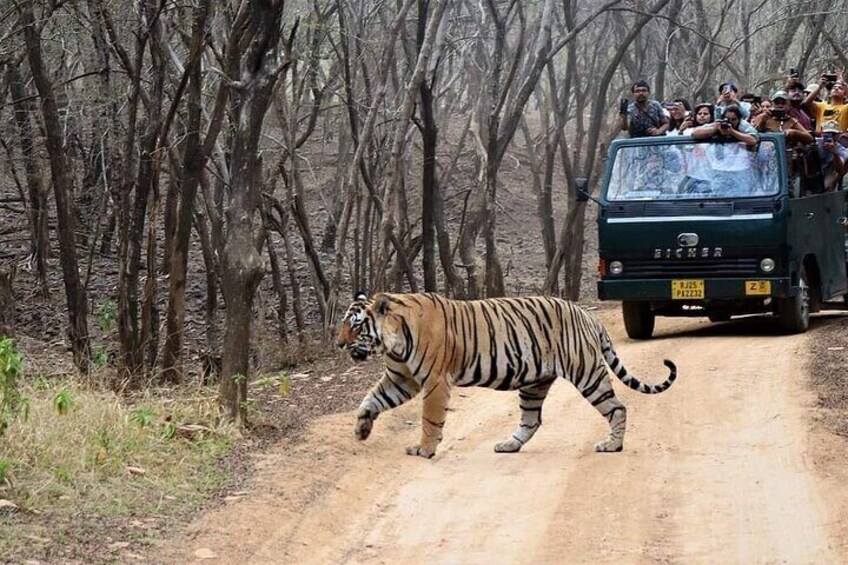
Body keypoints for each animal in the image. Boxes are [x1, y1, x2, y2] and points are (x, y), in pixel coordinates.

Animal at [336, 294, 676, 456]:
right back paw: (509, 445)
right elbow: (371, 399)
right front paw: (361, 429)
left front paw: (425, 450)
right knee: (532, 420)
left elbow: (430, 419)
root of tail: (588, 315)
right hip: (534, 383)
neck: (392, 340)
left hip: (587, 372)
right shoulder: (401, 378)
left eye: (356, 325)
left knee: (617, 408)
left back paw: (612, 445)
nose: (338, 344)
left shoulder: (434, 381)